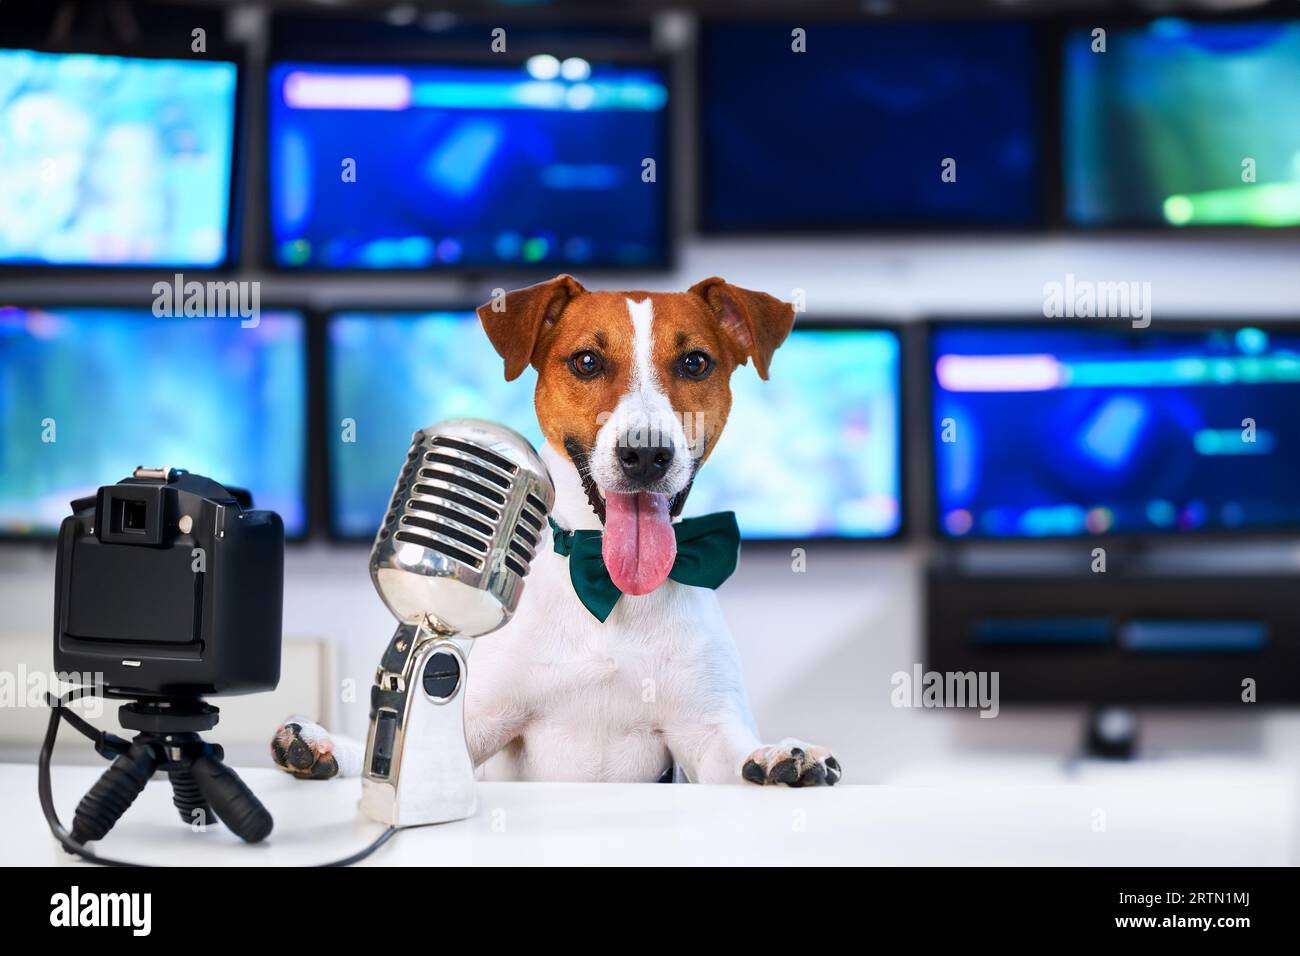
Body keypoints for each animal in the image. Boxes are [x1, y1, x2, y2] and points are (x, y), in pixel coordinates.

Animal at [274, 274, 842, 785]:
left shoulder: (707, 732)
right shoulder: (477, 716)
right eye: (587, 361)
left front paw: (783, 754)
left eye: (695, 362)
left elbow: (735, 754)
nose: (645, 455)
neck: (609, 584)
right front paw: (330, 745)